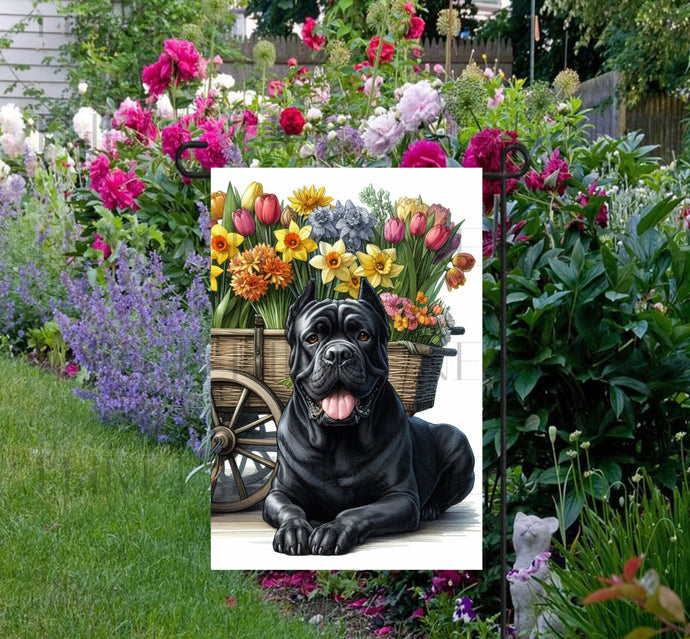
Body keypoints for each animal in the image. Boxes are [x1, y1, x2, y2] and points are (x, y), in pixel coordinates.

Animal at [260, 280, 476, 556]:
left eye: (363, 336)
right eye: (312, 338)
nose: (338, 353)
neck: (338, 439)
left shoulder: (400, 497)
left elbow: (358, 512)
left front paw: (332, 530)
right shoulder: (279, 493)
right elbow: (290, 509)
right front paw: (295, 530)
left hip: (457, 440)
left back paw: (430, 508)